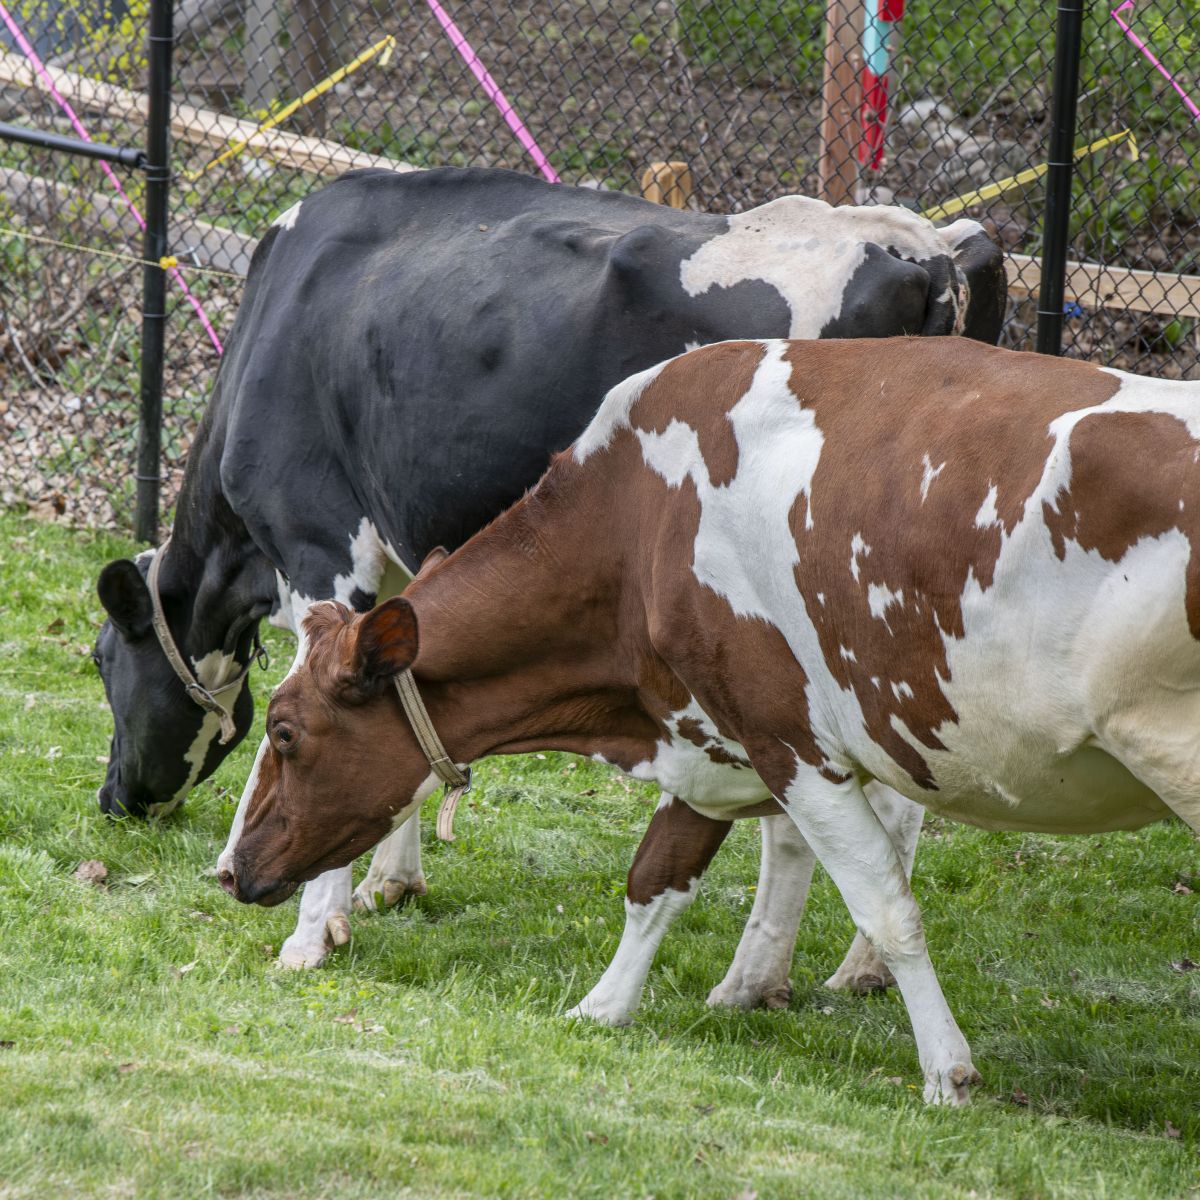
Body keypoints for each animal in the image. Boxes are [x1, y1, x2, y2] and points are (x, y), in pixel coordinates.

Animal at [92, 166, 1004, 974]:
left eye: (104, 662)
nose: (114, 801)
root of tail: (925, 249)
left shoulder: (321, 544)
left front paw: (312, 932)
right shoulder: (396, 557)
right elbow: (403, 706)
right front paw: (394, 881)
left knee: (824, 806)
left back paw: (776, 974)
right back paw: (853, 971)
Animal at [221, 334, 1200, 1105]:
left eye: (284, 733)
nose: (228, 869)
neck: (642, 518)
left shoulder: (788, 739)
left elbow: (888, 907)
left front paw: (946, 1073)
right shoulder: (709, 731)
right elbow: (656, 876)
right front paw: (603, 1007)